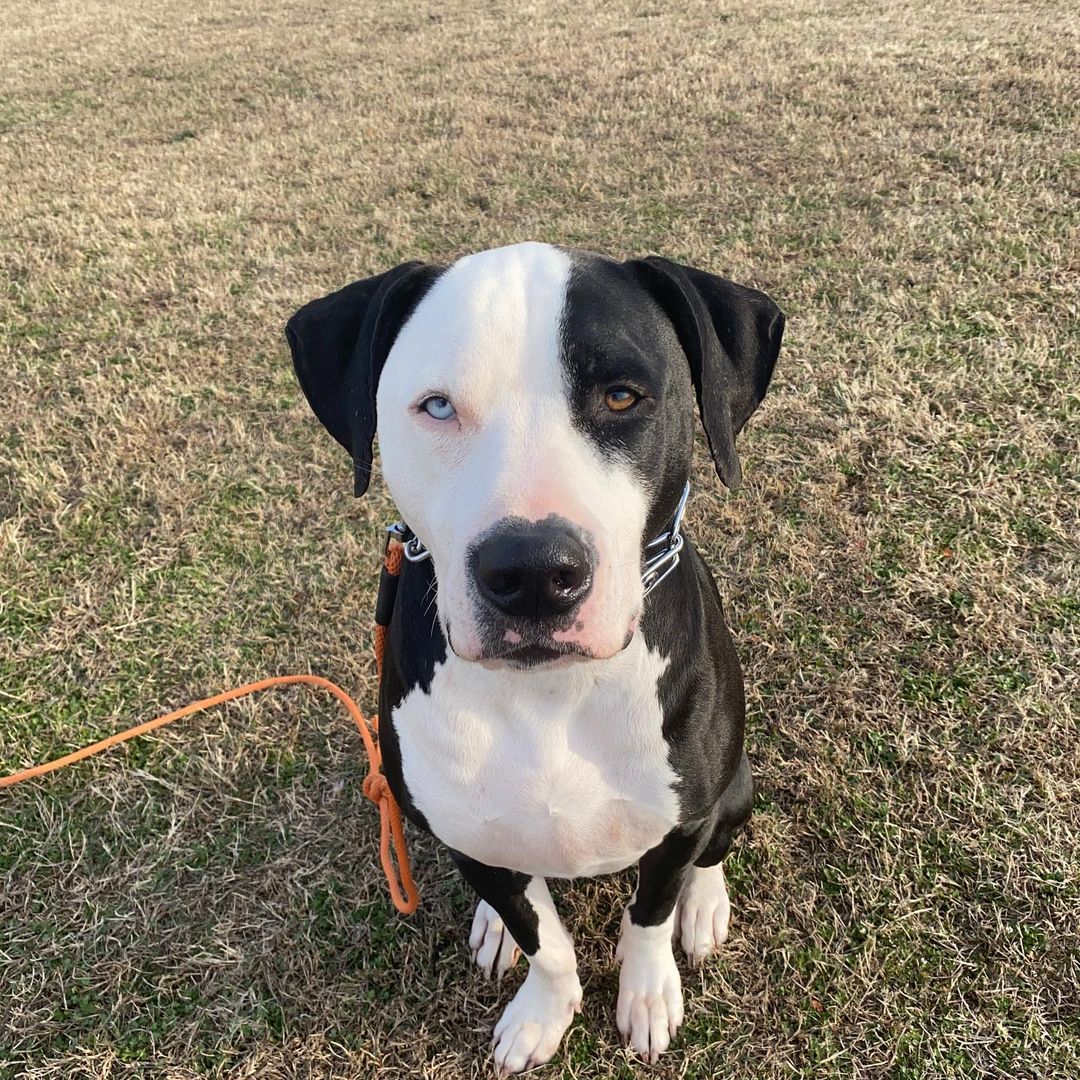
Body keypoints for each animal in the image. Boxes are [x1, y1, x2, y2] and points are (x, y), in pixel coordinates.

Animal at [287, 245, 786, 1071]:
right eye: (436, 406)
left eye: (622, 395)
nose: (532, 573)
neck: (552, 692)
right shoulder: (473, 842)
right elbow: (545, 942)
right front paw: (540, 1011)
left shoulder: (678, 824)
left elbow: (649, 916)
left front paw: (647, 994)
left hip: (738, 784)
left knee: (714, 845)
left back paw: (705, 904)